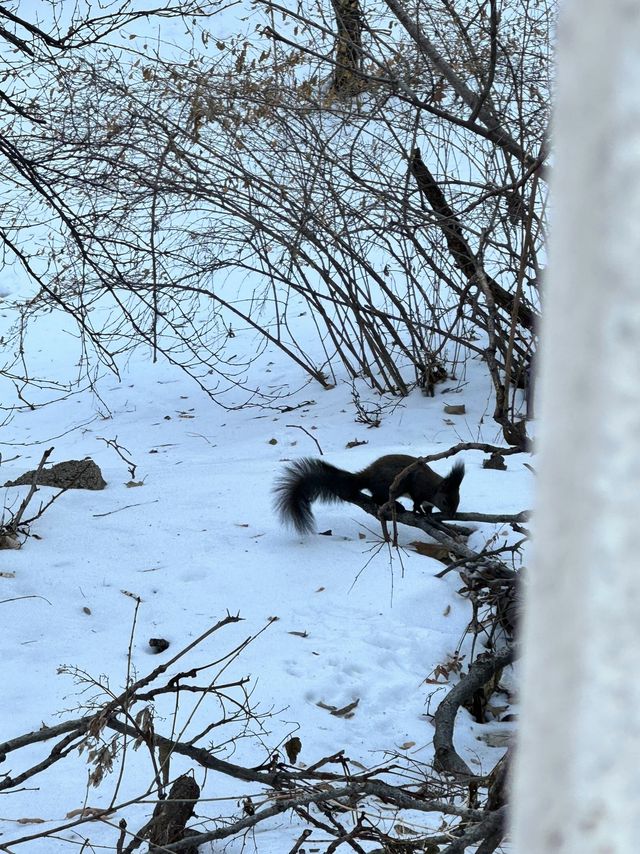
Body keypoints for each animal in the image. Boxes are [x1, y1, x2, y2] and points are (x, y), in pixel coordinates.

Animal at [272, 454, 462, 536]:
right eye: (445, 501)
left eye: (458, 500)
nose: (452, 514)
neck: (433, 488)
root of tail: (367, 476)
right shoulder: (417, 488)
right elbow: (416, 502)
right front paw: (418, 513)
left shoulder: (428, 501)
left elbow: (427, 508)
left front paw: (428, 515)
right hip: (391, 486)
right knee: (377, 497)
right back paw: (397, 506)